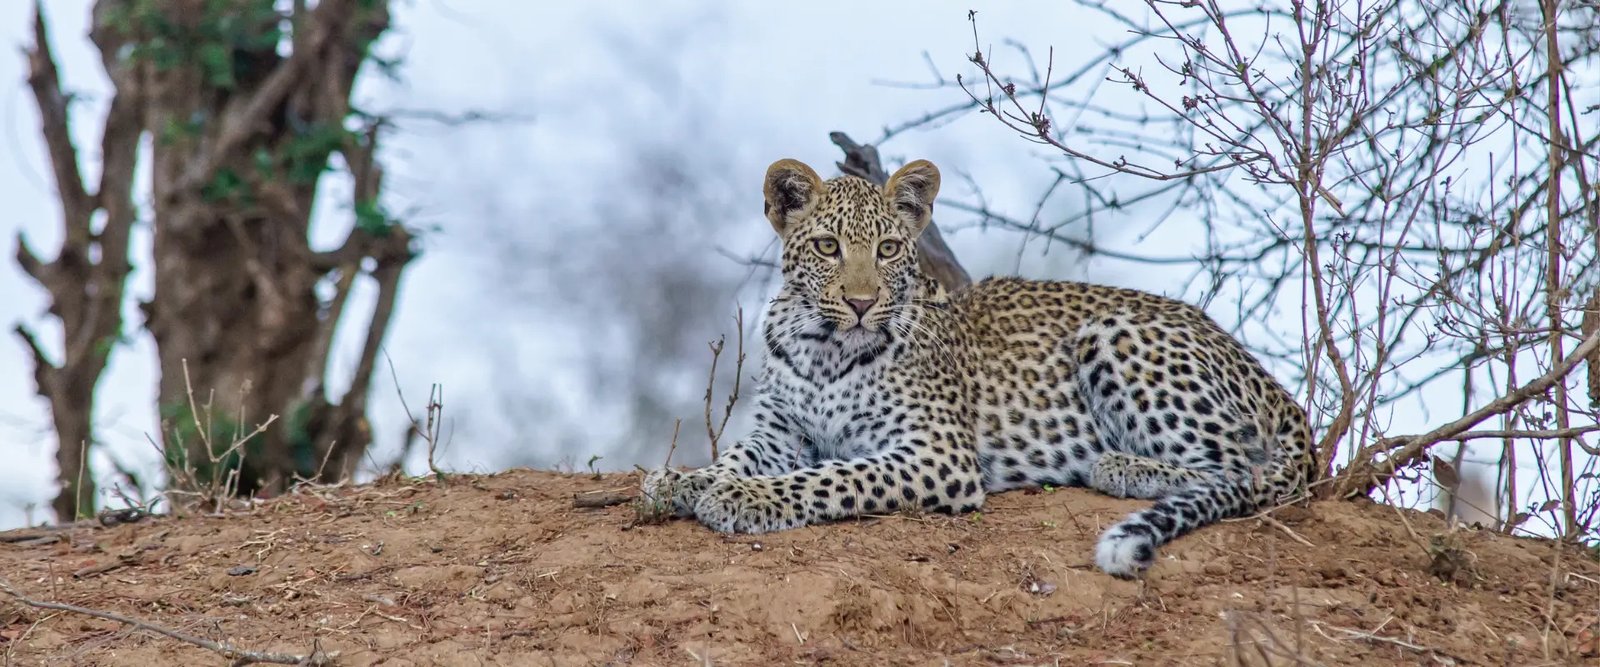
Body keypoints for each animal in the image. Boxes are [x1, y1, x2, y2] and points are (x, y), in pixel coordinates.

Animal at [636, 155, 1312, 575]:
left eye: (888, 249)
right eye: (828, 247)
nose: (861, 303)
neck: (824, 348)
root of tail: (1272, 384)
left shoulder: (936, 453)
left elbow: (827, 477)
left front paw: (742, 497)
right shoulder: (781, 430)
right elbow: (732, 456)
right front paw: (681, 481)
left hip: (1114, 334)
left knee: (1247, 472)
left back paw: (1120, 465)